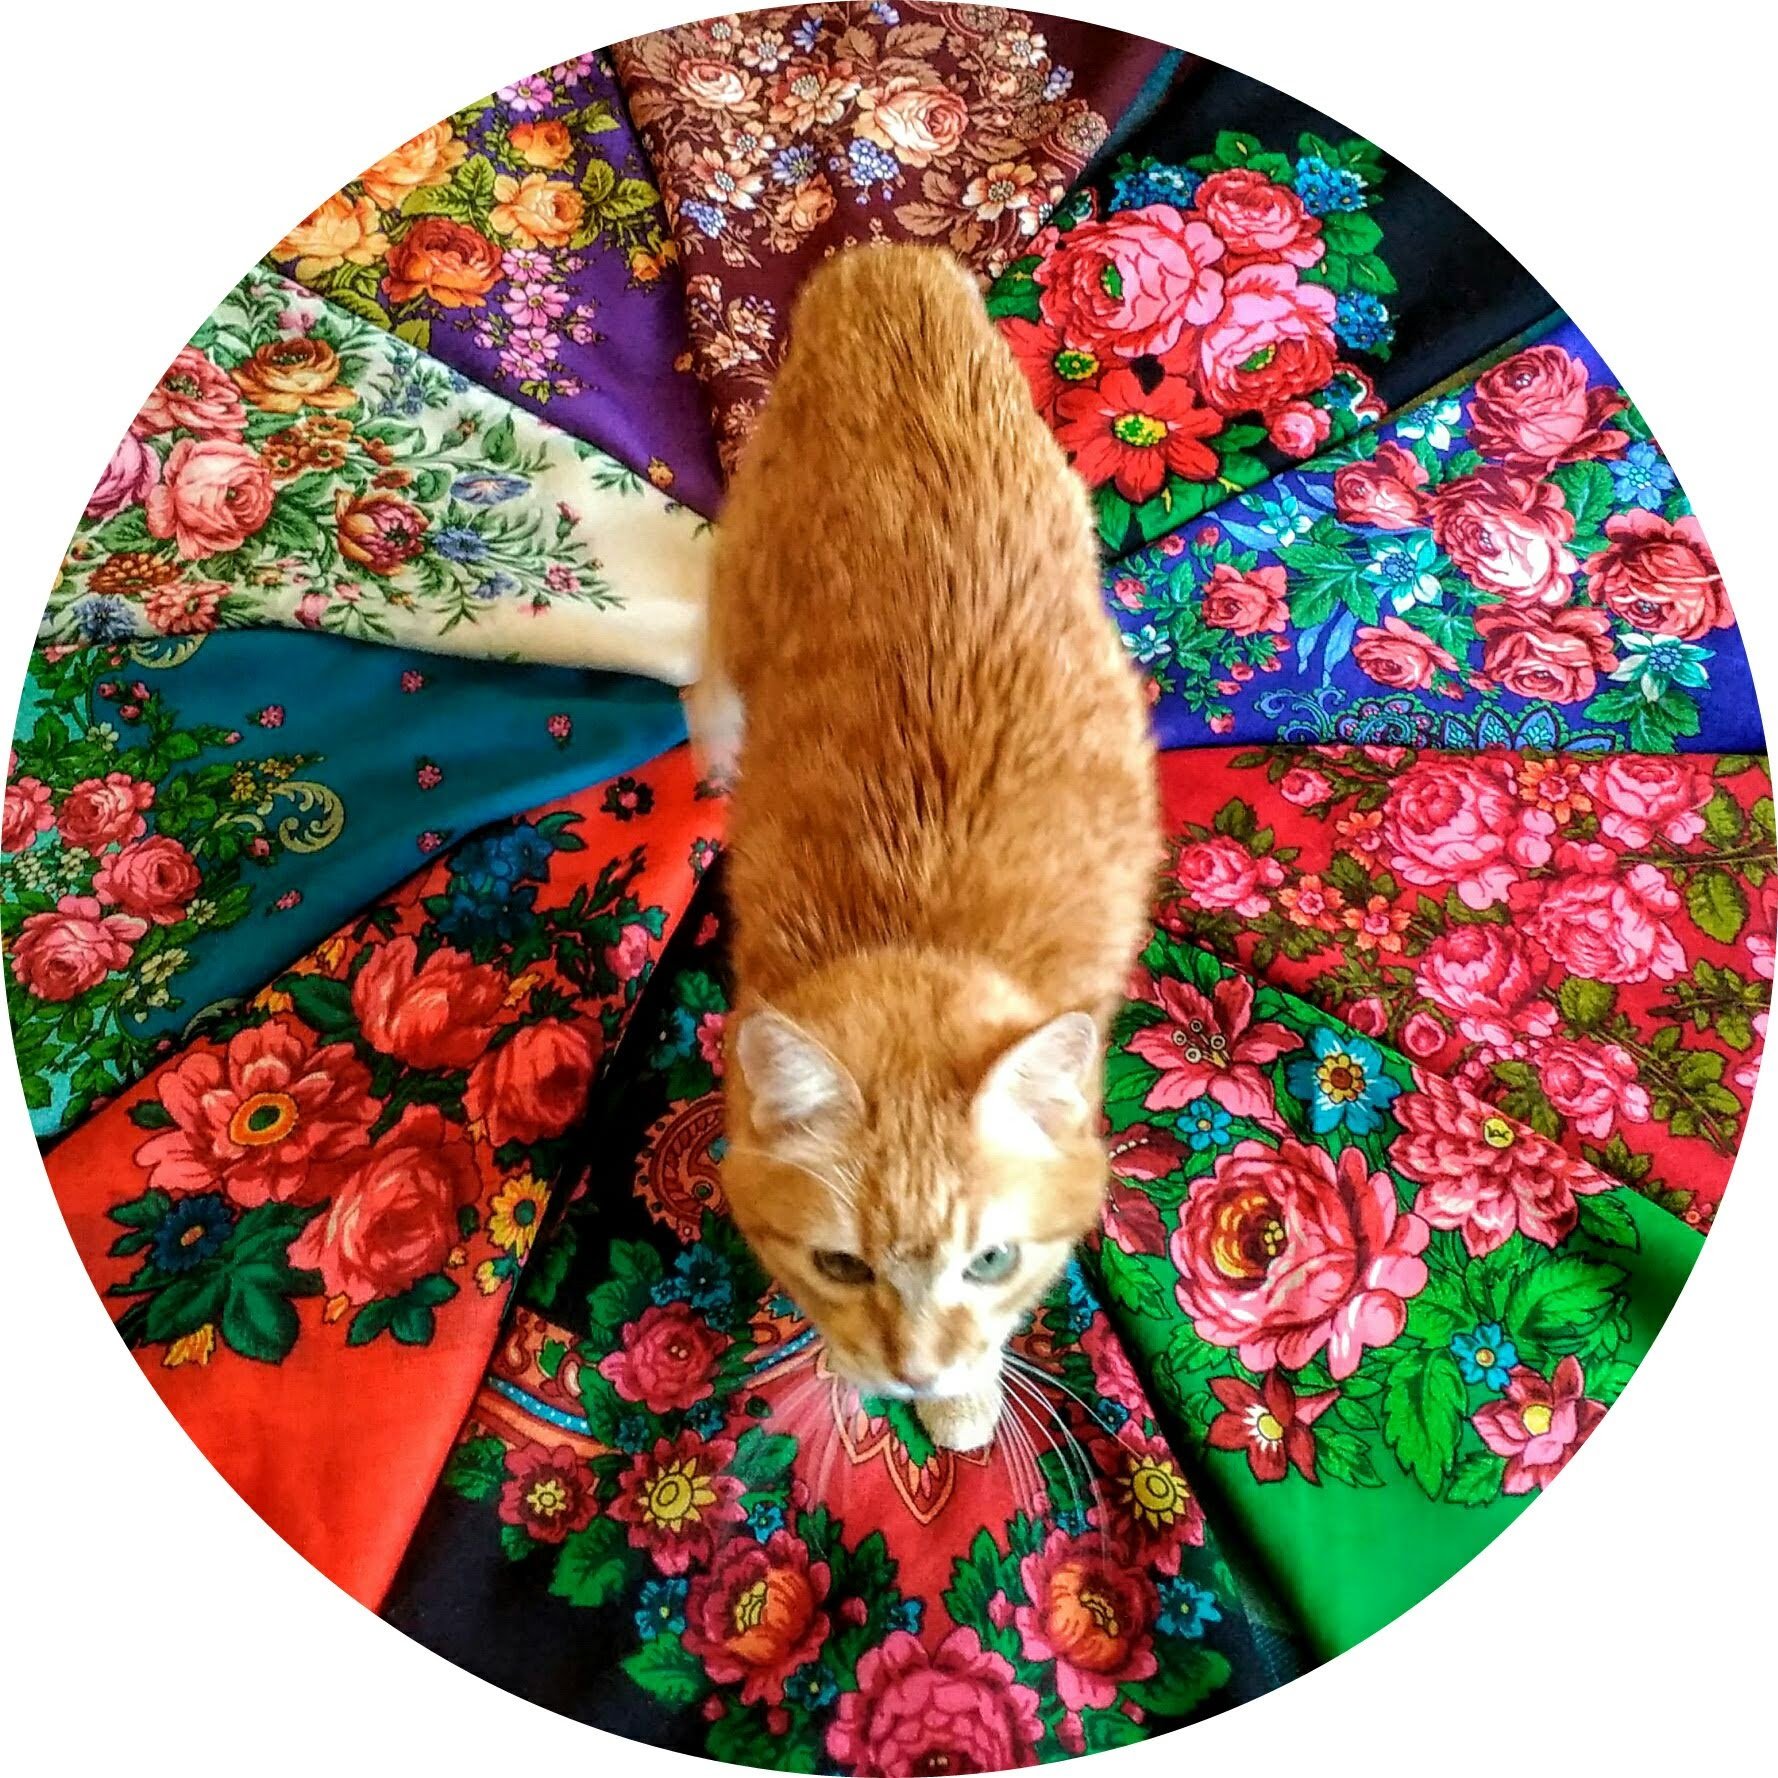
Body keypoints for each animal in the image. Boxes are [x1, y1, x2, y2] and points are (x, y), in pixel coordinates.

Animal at [690, 242, 1160, 1453]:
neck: (915, 921)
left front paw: (964, 1387)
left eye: (989, 1261)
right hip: (745, 578)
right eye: (839, 1266)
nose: (909, 1373)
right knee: (705, 666)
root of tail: (882, 259)